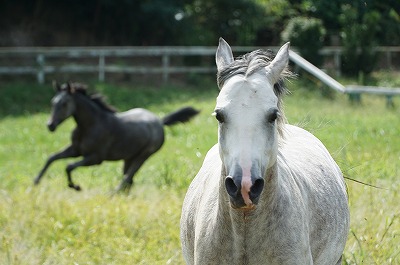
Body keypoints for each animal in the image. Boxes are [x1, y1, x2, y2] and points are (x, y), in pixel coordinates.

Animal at [33, 81, 199, 191]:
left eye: (65, 103)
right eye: (53, 102)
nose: (50, 125)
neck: (90, 125)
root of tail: (160, 121)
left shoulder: (95, 158)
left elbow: (68, 166)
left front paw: (75, 186)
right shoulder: (75, 150)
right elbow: (51, 158)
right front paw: (35, 181)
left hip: (143, 156)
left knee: (126, 179)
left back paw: (113, 194)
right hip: (129, 158)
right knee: (129, 181)